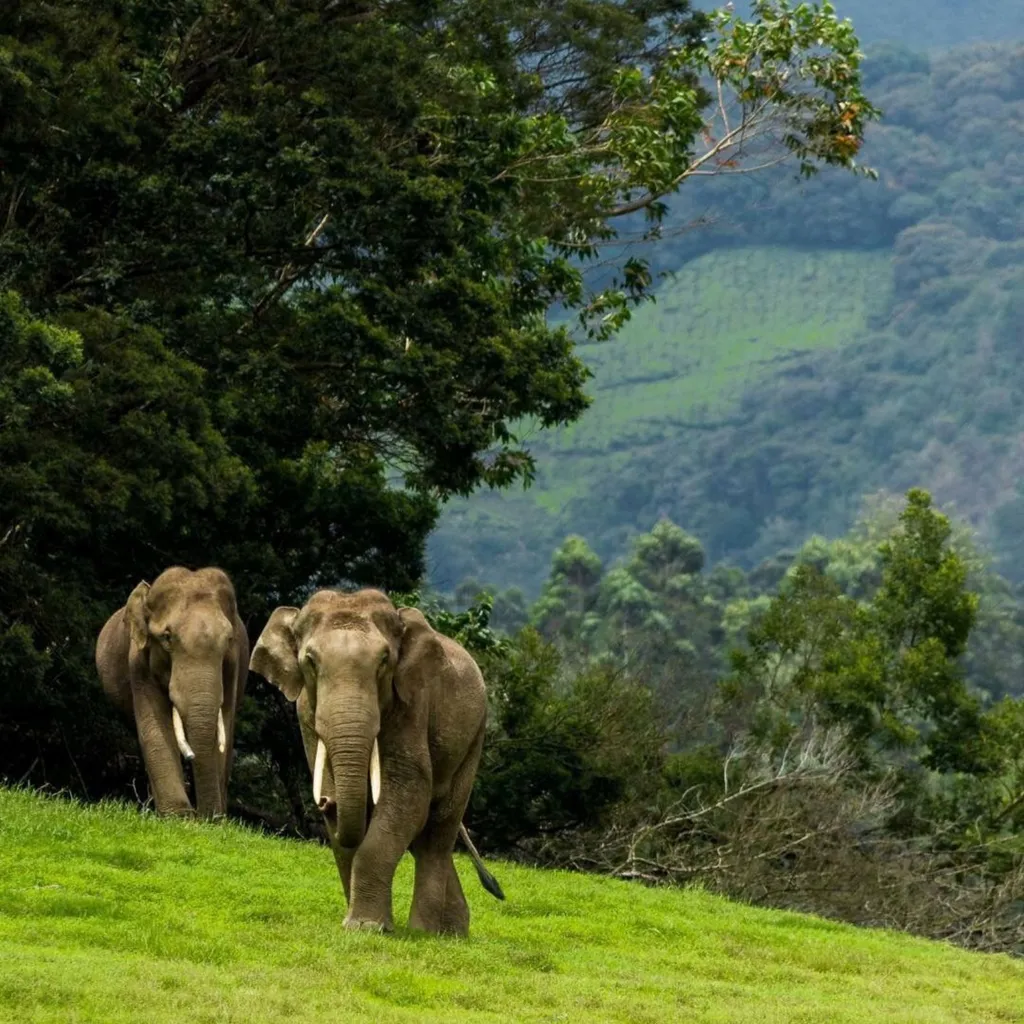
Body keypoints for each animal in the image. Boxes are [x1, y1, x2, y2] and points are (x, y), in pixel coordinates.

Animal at [95, 566, 249, 819]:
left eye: (228, 640)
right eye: (167, 637)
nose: (206, 817)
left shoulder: (233, 666)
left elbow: (223, 726)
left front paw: (213, 819)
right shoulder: (138, 662)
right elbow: (154, 727)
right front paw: (179, 816)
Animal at [249, 587, 504, 937]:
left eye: (384, 661)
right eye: (310, 662)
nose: (326, 802)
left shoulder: (412, 704)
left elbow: (408, 793)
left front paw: (367, 927)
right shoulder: (305, 712)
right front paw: (360, 923)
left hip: (473, 738)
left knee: (438, 830)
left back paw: (426, 932)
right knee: (424, 835)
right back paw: (452, 933)